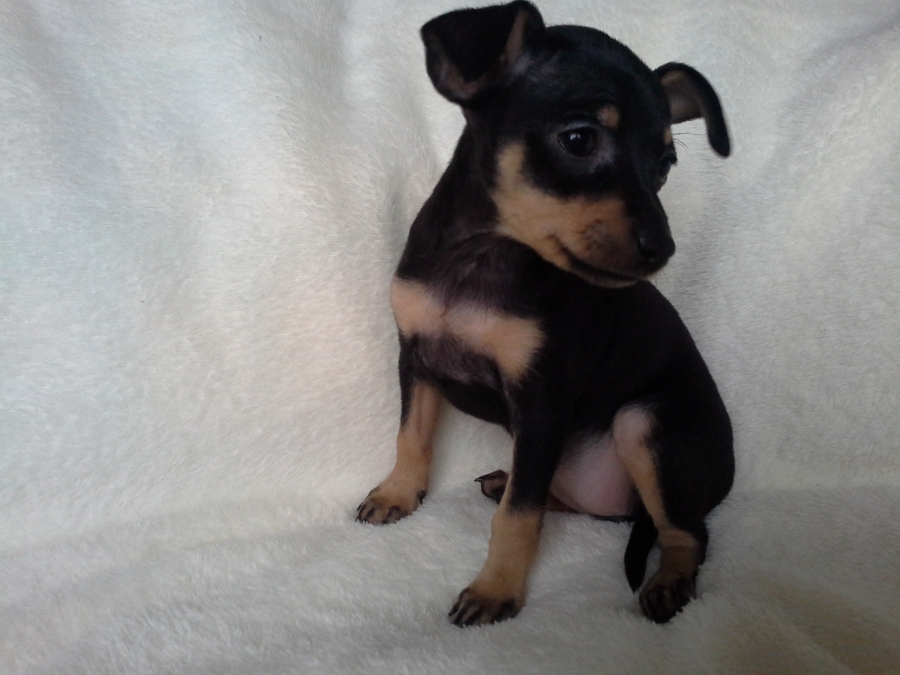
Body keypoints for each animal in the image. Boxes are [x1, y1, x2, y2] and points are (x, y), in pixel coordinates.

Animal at [356, 0, 734, 626]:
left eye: (665, 163)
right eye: (579, 140)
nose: (663, 249)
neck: (483, 257)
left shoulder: (542, 401)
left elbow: (517, 518)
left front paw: (495, 590)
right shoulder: (416, 356)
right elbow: (411, 436)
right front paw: (397, 494)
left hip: (644, 424)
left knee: (689, 532)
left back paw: (669, 584)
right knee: (554, 495)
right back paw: (503, 478)